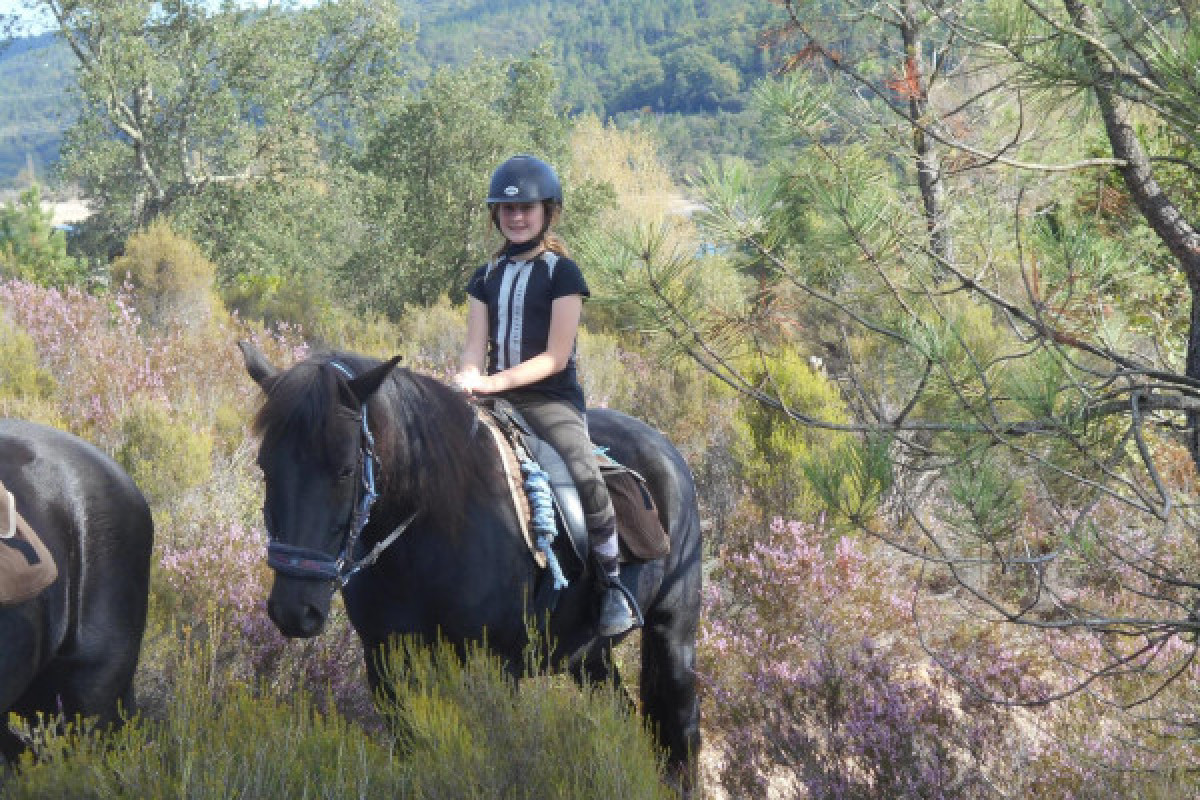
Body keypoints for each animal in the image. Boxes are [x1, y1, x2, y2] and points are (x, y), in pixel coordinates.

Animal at [239, 341, 702, 783]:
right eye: (265, 467)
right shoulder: (385, 664)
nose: (294, 610)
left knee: (683, 742)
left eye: (346, 470)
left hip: (673, 637)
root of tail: (666, 449)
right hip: (590, 656)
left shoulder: (496, 669)